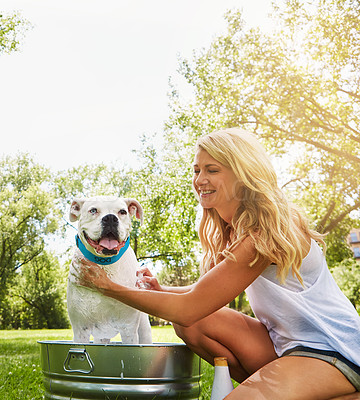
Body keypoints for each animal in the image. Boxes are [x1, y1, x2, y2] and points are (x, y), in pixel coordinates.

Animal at [67, 196, 152, 344]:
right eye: (93, 210)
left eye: (123, 212)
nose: (111, 218)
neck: (105, 264)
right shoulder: (80, 331)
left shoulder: (129, 330)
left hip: (144, 330)